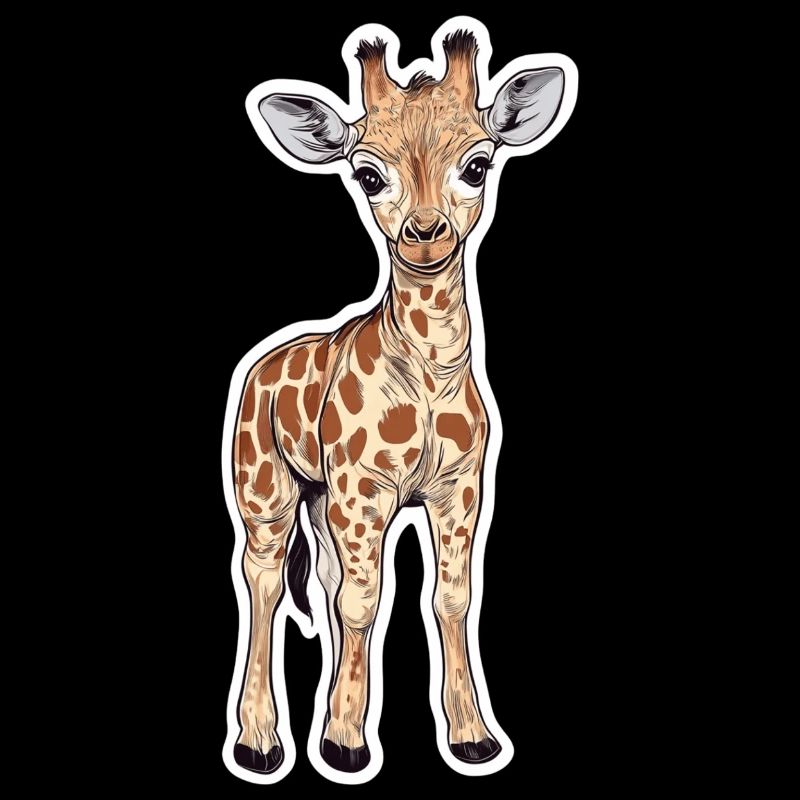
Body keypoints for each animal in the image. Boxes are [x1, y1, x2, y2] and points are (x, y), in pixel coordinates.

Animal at [226, 21, 574, 781]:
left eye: (478, 164)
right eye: (366, 174)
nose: (425, 233)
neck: (431, 373)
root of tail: (260, 363)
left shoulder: (458, 489)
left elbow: (450, 597)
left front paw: (473, 738)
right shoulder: (366, 489)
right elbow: (365, 601)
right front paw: (344, 745)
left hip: (320, 500)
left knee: (321, 583)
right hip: (265, 491)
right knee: (263, 582)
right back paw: (260, 745)